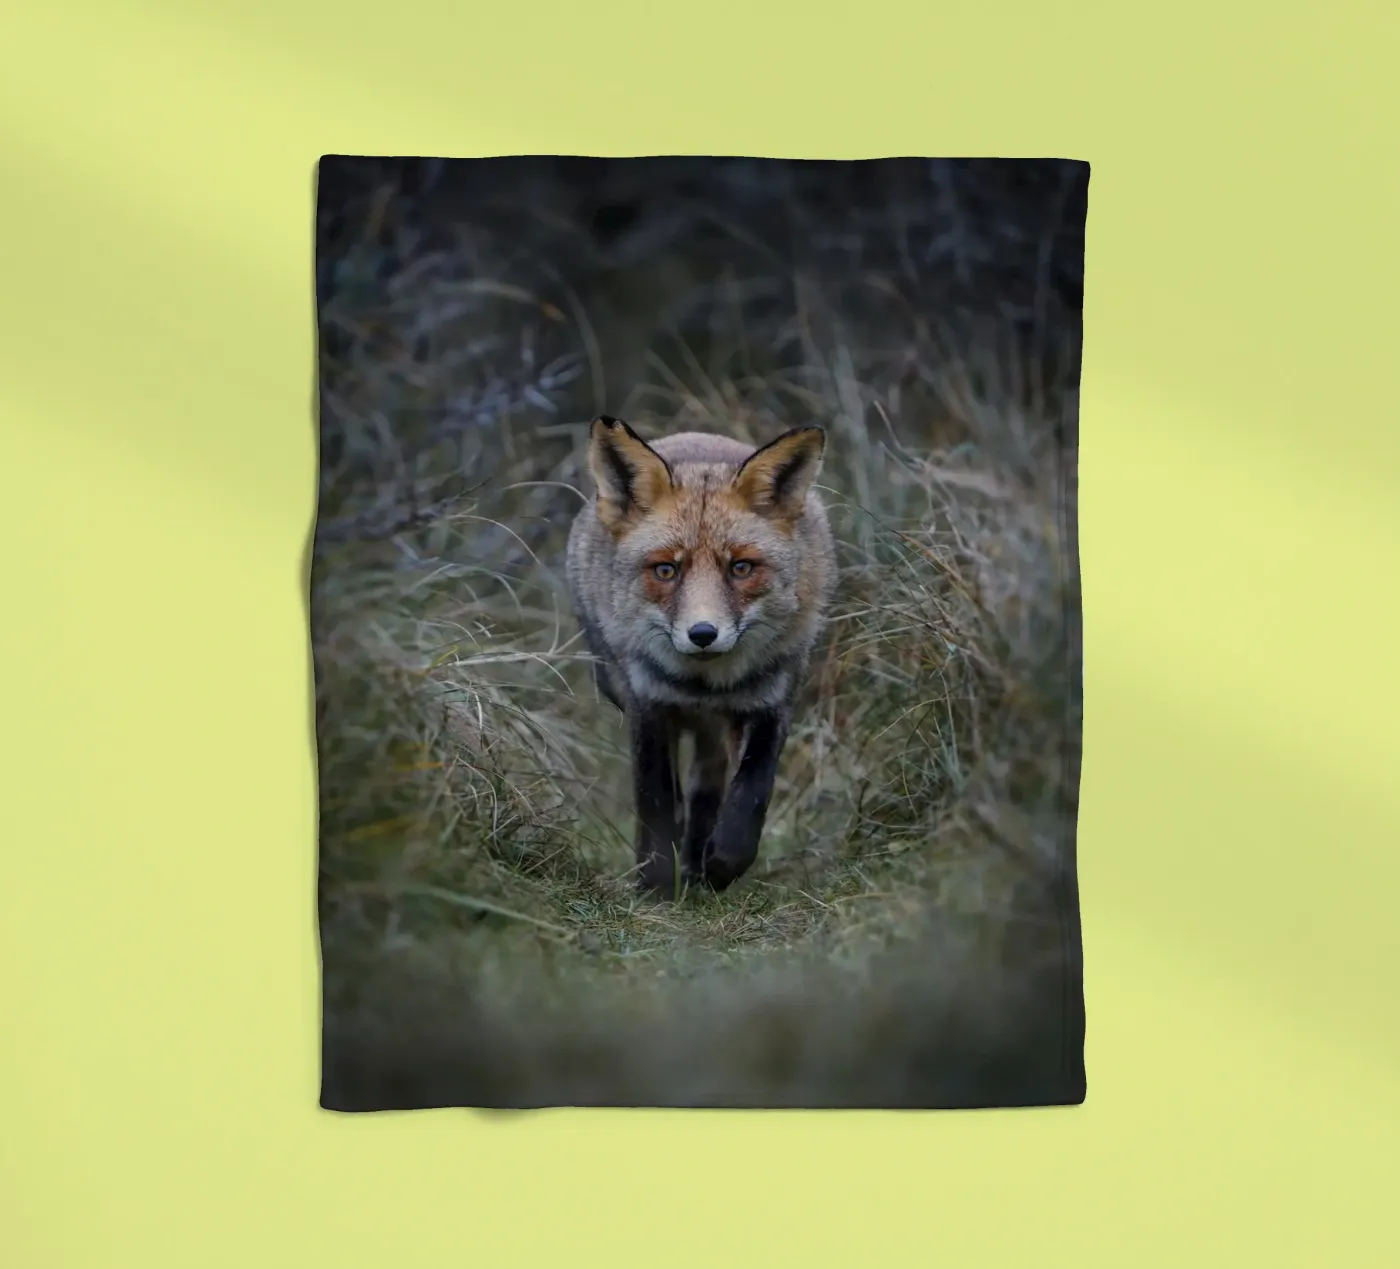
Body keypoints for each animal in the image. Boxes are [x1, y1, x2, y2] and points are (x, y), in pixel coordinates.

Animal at [566, 415, 837, 897]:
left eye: (741, 568)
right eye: (666, 570)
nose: (703, 634)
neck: (705, 685)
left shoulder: (772, 702)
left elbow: (751, 797)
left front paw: (720, 865)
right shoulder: (648, 705)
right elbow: (656, 803)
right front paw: (656, 887)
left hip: (719, 729)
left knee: (707, 785)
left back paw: (697, 863)